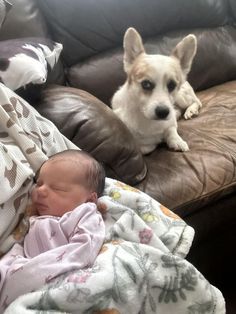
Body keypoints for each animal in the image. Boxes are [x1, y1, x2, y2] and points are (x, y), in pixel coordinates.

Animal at [111, 27, 202, 155]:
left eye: (172, 85)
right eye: (146, 84)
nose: (163, 112)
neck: (147, 119)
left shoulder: (170, 122)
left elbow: (171, 130)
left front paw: (177, 140)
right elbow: (146, 146)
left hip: (181, 97)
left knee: (197, 102)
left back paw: (190, 110)